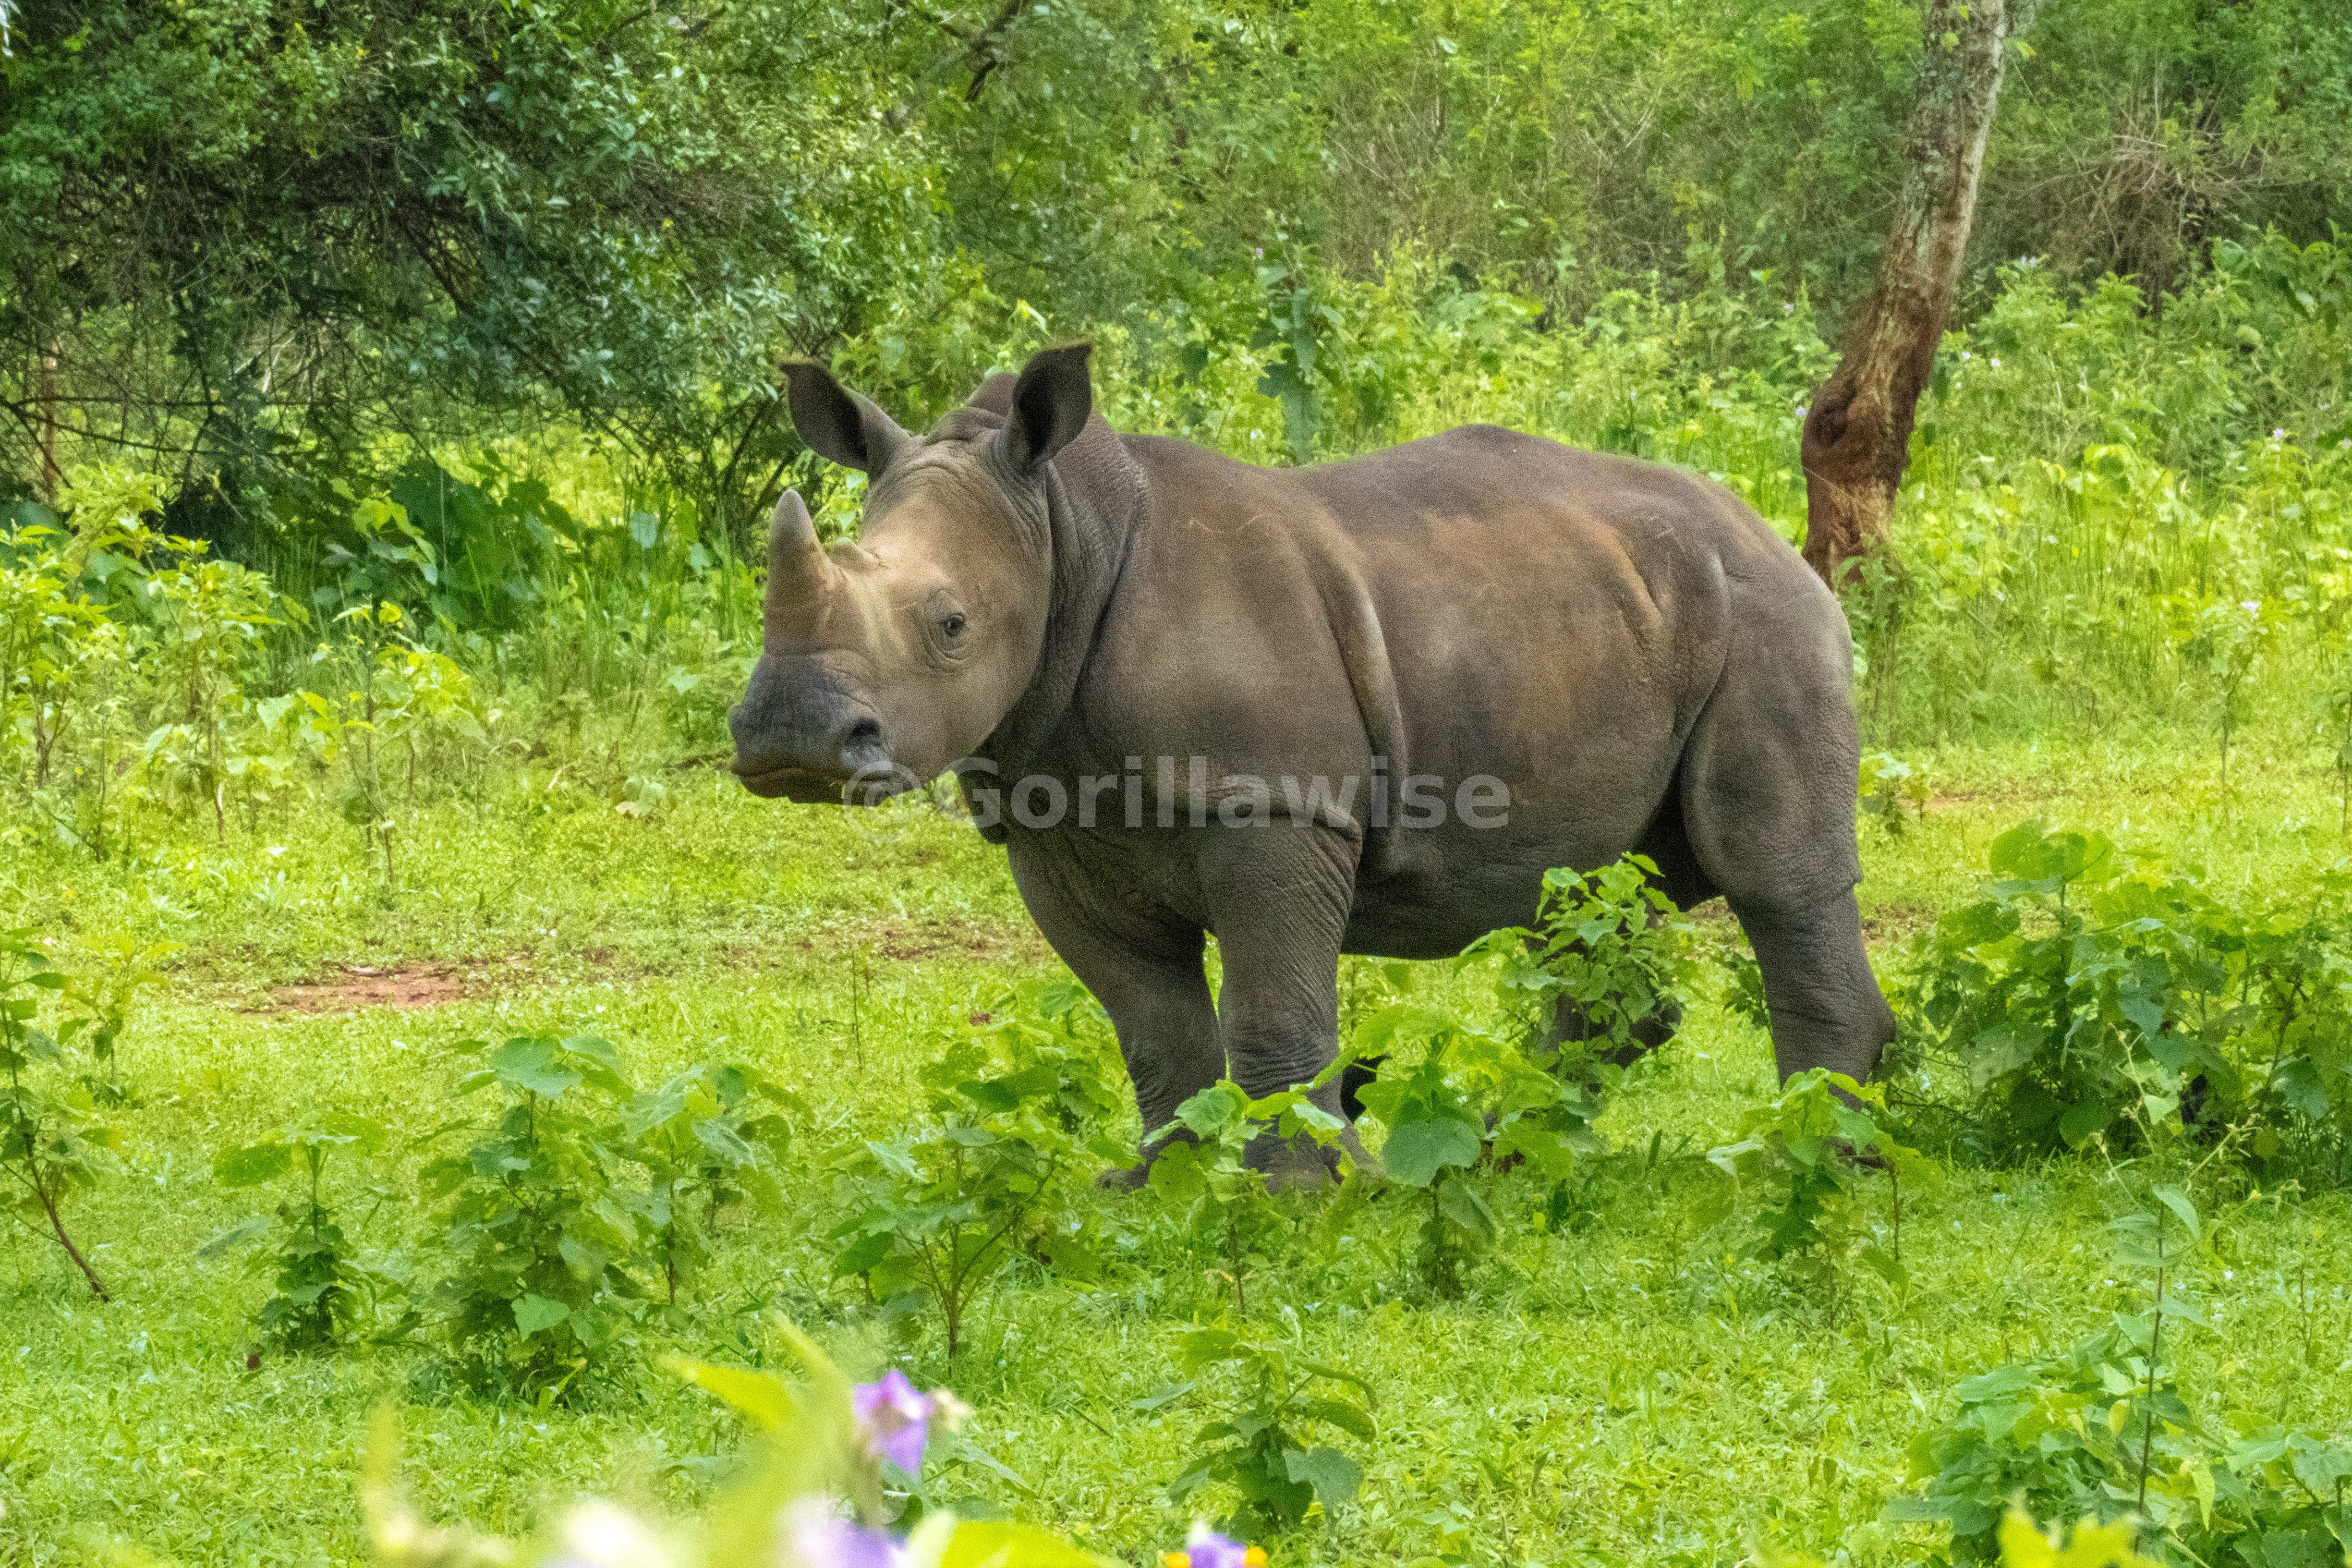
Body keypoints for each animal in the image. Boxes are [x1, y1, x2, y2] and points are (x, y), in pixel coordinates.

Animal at [729, 345, 1894, 1178]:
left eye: (952, 626)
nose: (793, 743)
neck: (1064, 532)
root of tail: (1770, 533)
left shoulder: (1274, 807)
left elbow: (1271, 1005)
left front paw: (1303, 1192)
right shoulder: (1048, 825)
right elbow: (1151, 1026)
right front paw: (1157, 1185)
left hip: (1764, 620)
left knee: (1772, 878)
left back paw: (1814, 1159)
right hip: (1621, 613)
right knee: (1591, 895)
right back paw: (1504, 1155)